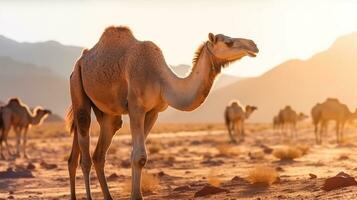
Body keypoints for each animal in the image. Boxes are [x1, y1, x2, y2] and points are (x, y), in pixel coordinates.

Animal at [65, 26, 258, 200]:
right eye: (228, 42)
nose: (254, 45)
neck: (161, 80)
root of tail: (79, 62)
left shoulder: (154, 112)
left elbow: (137, 155)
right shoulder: (136, 107)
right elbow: (139, 156)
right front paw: (137, 196)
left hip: (108, 114)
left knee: (98, 151)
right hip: (77, 88)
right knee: (85, 153)